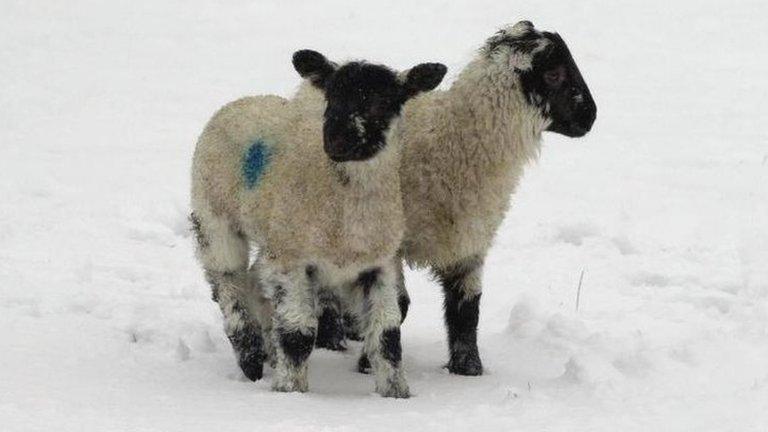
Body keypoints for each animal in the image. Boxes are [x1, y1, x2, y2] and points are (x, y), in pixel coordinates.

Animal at [188, 49, 448, 396]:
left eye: (381, 102)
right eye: (331, 97)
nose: (335, 142)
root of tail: (246, 99)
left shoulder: (379, 265)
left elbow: (387, 336)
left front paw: (396, 394)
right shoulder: (292, 260)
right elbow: (297, 334)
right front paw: (291, 392)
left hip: (272, 235)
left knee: (254, 281)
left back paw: (268, 352)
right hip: (215, 216)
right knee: (227, 280)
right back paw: (250, 356)